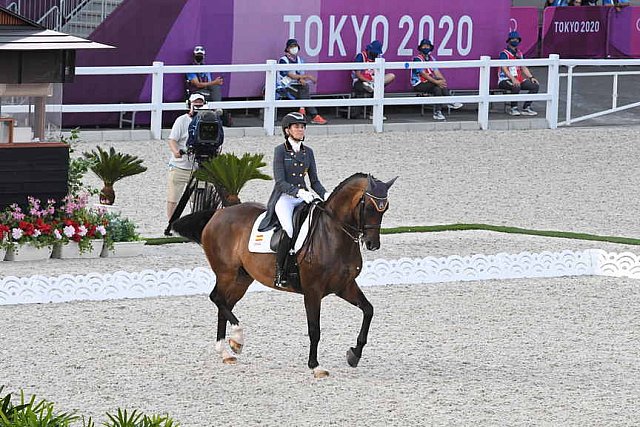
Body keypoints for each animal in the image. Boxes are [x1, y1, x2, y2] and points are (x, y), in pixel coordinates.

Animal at [172, 172, 398, 380]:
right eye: (369, 208)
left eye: (385, 208)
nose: (372, 244)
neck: (333, 234)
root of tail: (218, 214)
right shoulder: (312, 291)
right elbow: (314, 329)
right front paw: (316, 366)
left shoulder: (345, 286)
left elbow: (368, 310)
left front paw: (354, 355)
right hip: (226, 272)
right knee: (216, 298)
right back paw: (237, 339)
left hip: (242, 279)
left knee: (224, 305)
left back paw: (227, 350)